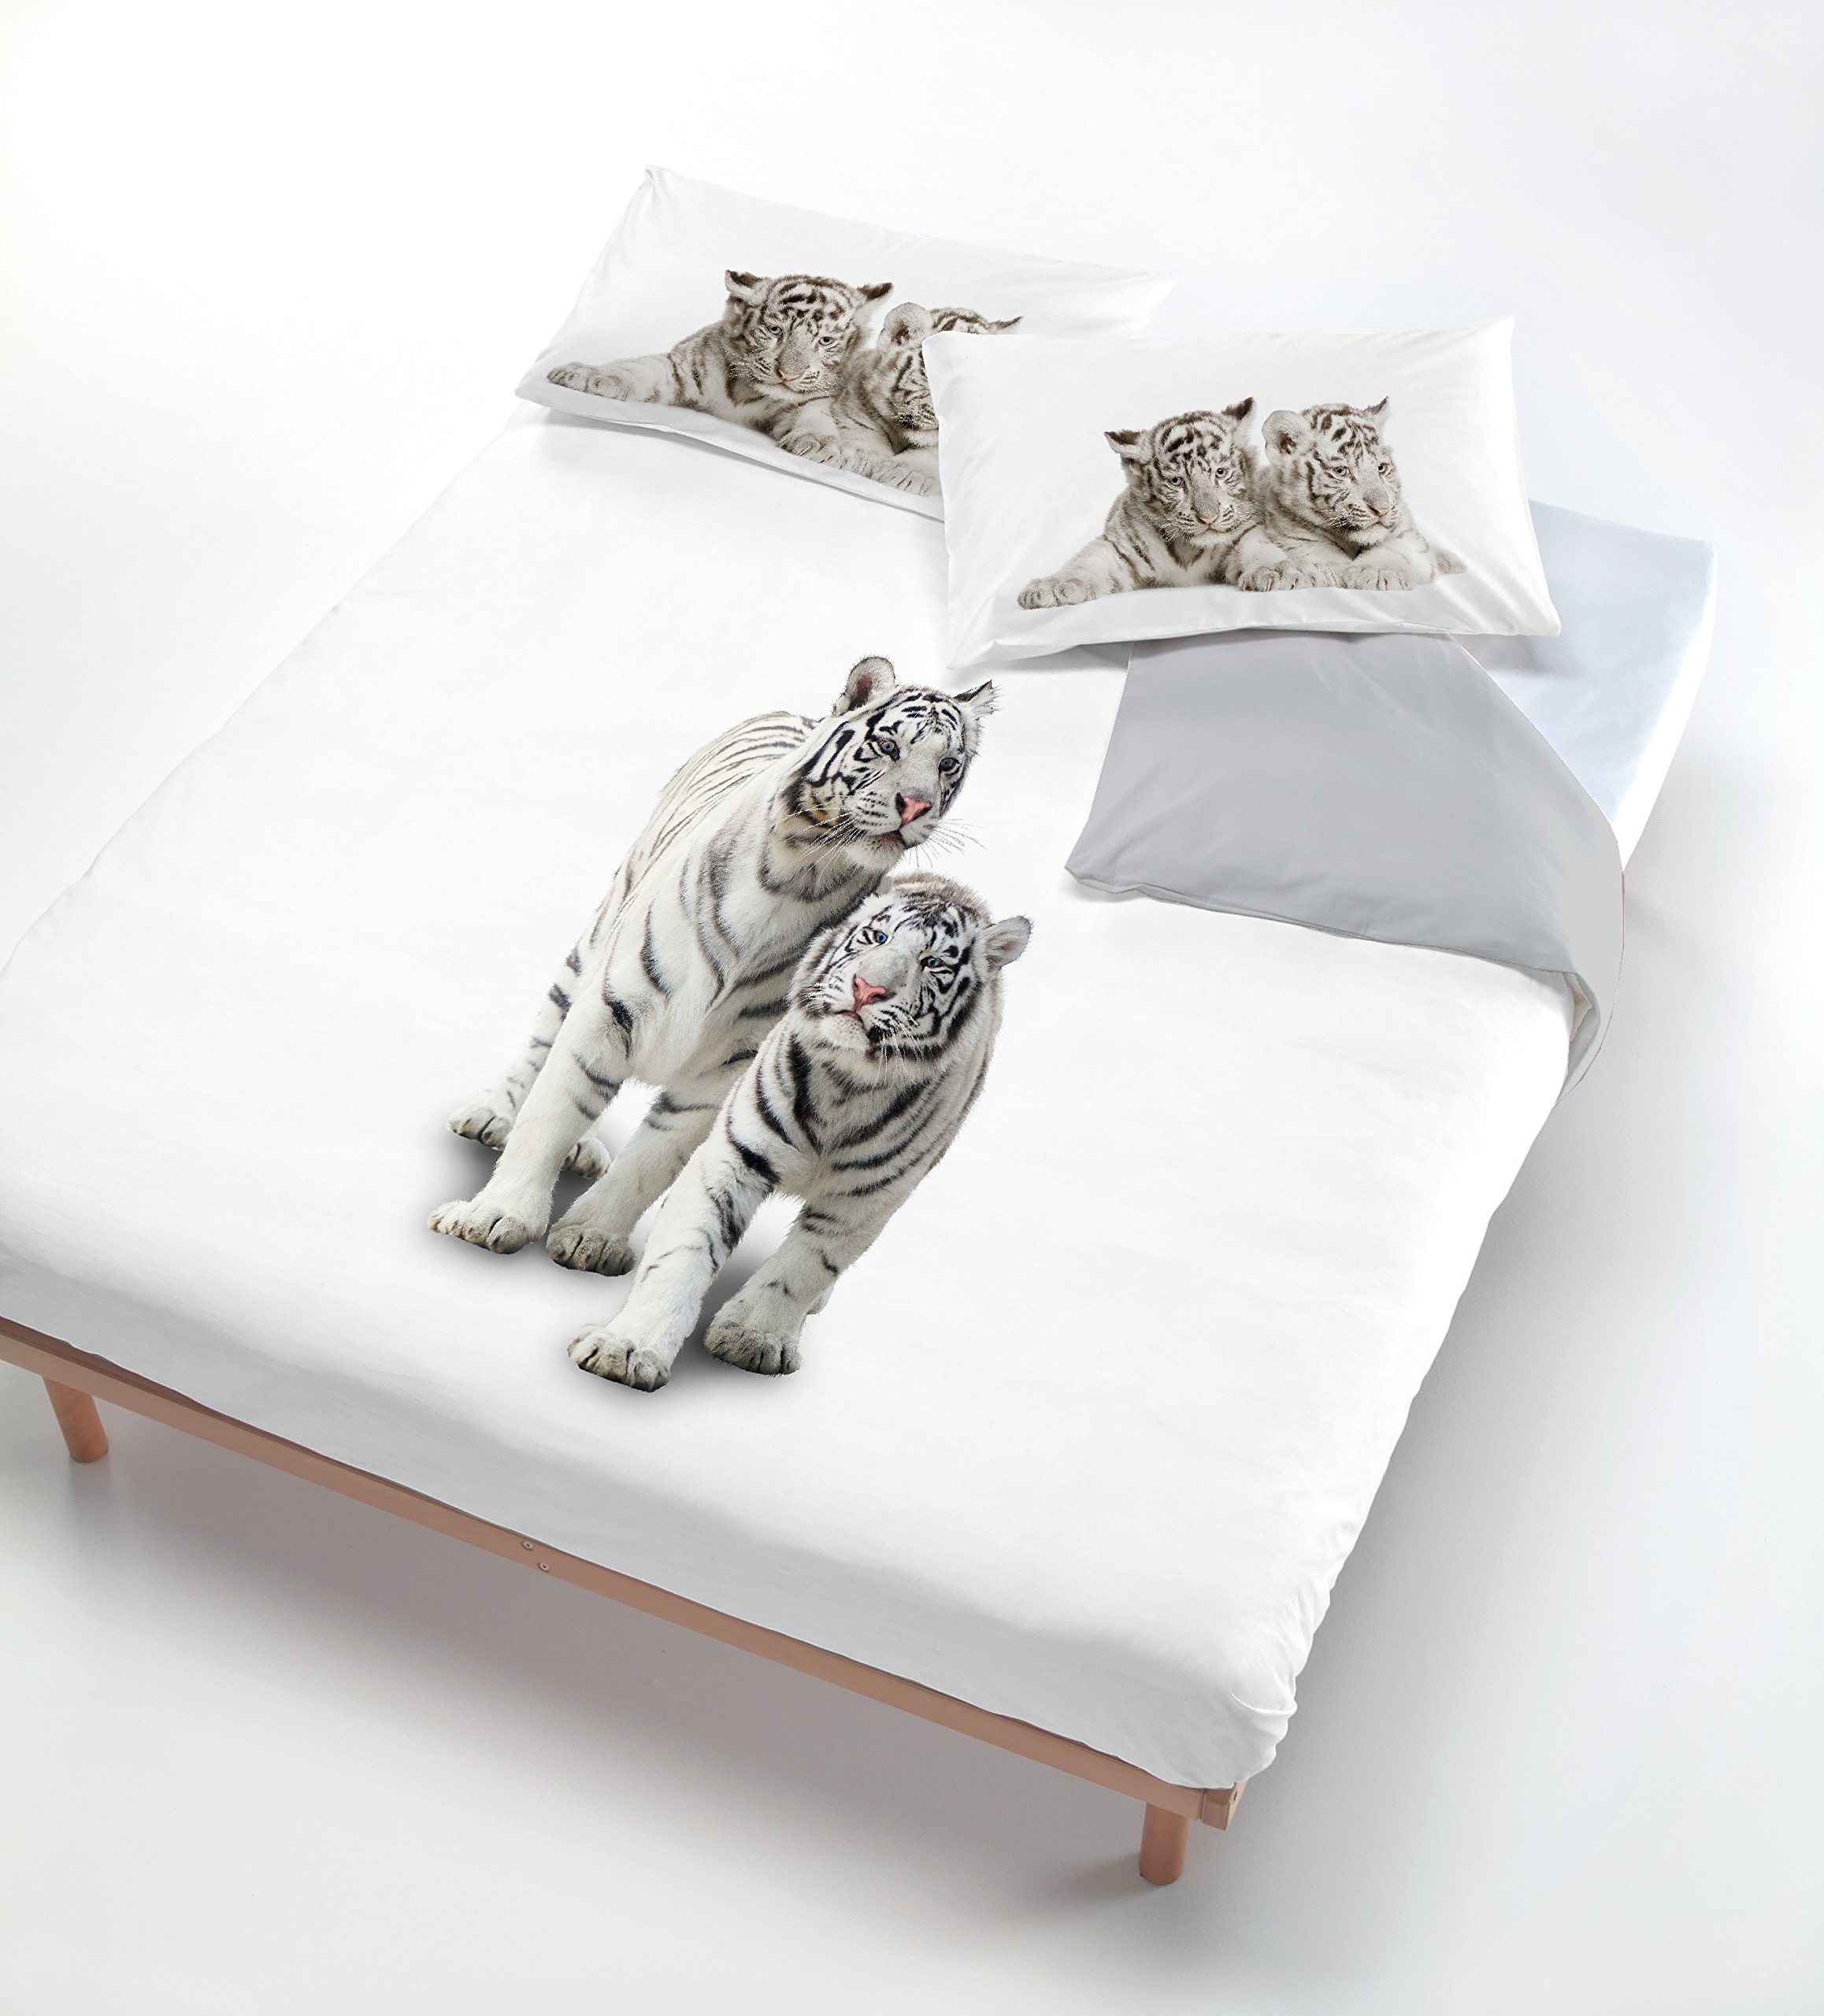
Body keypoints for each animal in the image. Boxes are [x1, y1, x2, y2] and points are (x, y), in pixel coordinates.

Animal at [428, 659, 996, 1271]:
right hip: (593, 943)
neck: (804, 875)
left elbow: (654, 1158)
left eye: (947, 765)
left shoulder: (730, 1065)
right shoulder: (609, 1007)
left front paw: (592, 1238)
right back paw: (492, 1114)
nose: (917, 806)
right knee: (543, 1043)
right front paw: (498, 1216)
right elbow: (551, 1112)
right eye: (889, 746)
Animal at [546, 270, 892, 459]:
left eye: (825, 341)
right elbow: (635, 369)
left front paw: (818, 443)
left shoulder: (811, 400)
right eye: (775, 330)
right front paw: (582, 374)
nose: (787, 375)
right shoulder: (679, 367)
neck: (746, 393)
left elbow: (815, 412)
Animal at [566, 873, 1031, 1392]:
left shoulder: (866, 1199)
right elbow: (685, 1252)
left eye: (932, 963)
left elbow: (806, 1268)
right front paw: (627, 1348)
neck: (849, 1084)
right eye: (877, 937)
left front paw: (751, 1337)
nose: (868, 989)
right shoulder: (736, 1154)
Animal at [1016, 402, 1293, 608]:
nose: (1208, 518)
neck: (1188, 549)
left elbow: (1258, 549)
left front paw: (1276, 572)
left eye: (1221, 472)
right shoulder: (1118, 547)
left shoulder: (1244, 533)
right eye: (1176, 481)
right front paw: (1051, 587)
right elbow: (1085, 561)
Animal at [1255, 399, 1465, 589]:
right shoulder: (1293, 538)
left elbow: (1395, 549)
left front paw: (1377, 572)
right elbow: (1318, 556)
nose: (1382, 509)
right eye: (1341, 471)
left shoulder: (1408, 534)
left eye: (1381, 468)